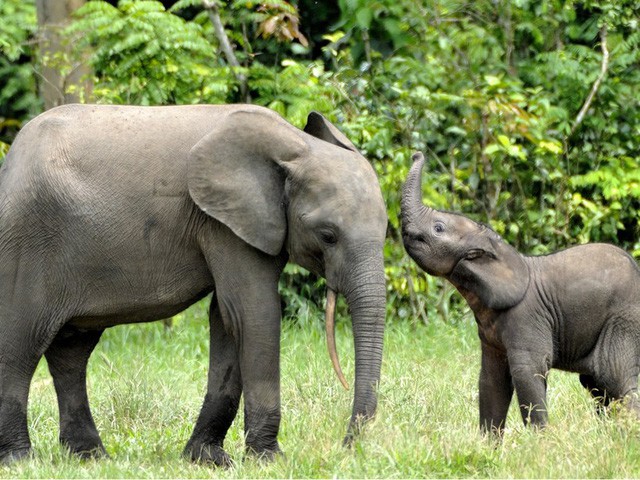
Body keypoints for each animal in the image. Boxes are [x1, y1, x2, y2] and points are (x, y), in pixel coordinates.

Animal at [0, 104, 384, 464]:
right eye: (328, 235)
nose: (347, 445)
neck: (295, 146)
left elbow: (227, 318)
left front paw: (208, 459)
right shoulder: (222, 222)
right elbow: (253, 312)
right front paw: (269, 459)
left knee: (72, 351)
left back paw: (90, 457)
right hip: (26, 243)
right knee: (20, 344)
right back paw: (21, 460)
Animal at [400, 152, 640, 434]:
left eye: (438, 228)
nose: (417, 154)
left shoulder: (527, 318)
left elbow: (527, 374)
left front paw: (540, 441)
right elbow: (491, 381)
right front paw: (489, 444)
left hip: (624, 321)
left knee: (614, 379)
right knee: (597, 386)